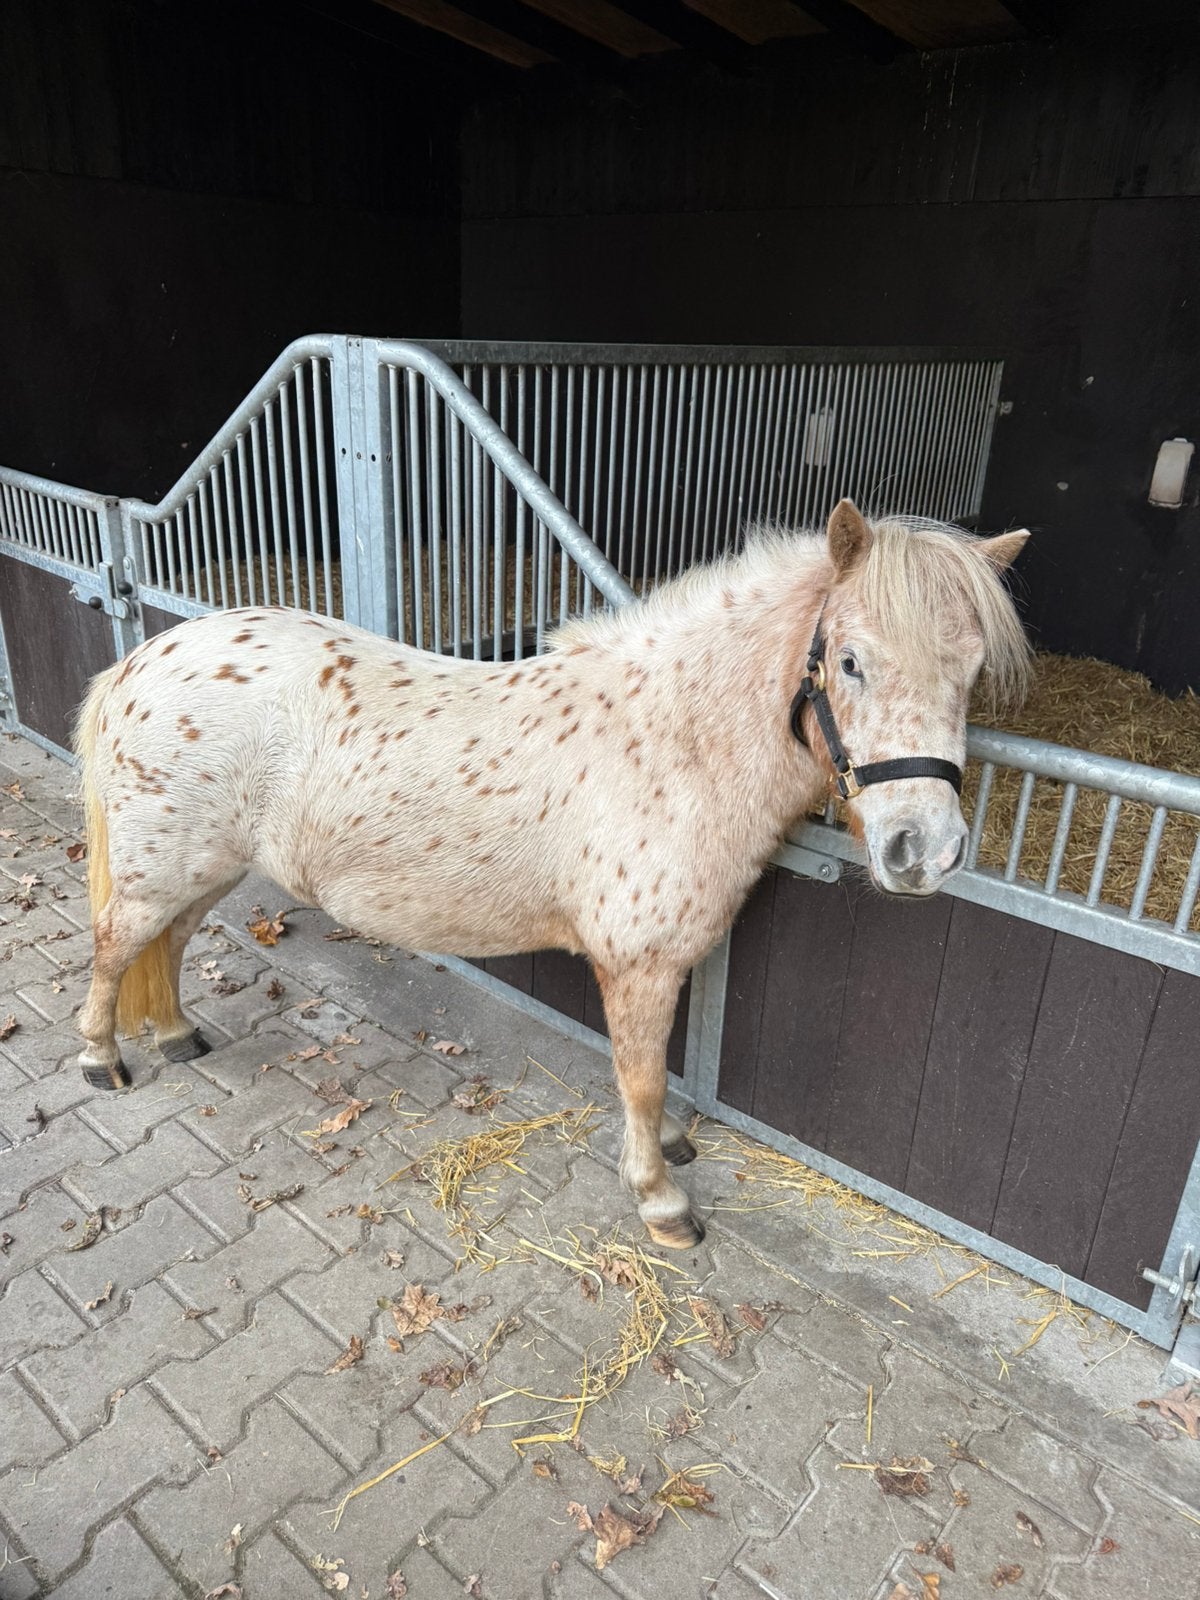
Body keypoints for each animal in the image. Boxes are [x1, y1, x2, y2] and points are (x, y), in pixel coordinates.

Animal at [74, 500, 1029, 1249]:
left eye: (971, 673)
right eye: (852, 661)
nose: (924, 851)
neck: (671, 743)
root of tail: (139, 664)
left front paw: (670, 1149)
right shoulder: (637, 964)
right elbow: (642, 1079)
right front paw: (660, 1200)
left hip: (204, 868)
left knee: (166, 943)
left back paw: (174, 1035)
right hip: (165, 867)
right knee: (116, 944)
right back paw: (101, 1059)